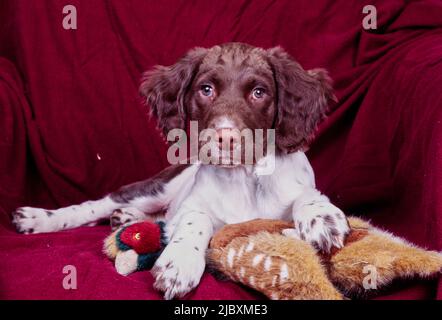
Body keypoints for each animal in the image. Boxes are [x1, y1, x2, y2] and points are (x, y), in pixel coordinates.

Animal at [12, 43, 350, 300]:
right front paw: (180, 260)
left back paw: (126, 218)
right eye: (206, 89)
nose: (225, 138)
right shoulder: (189, 208)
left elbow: (307, 194)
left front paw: (321, 216)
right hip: (157, 187)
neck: (243, 177)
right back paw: (41, 218)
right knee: (100, 203)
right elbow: (195, 219)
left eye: (259, 92)